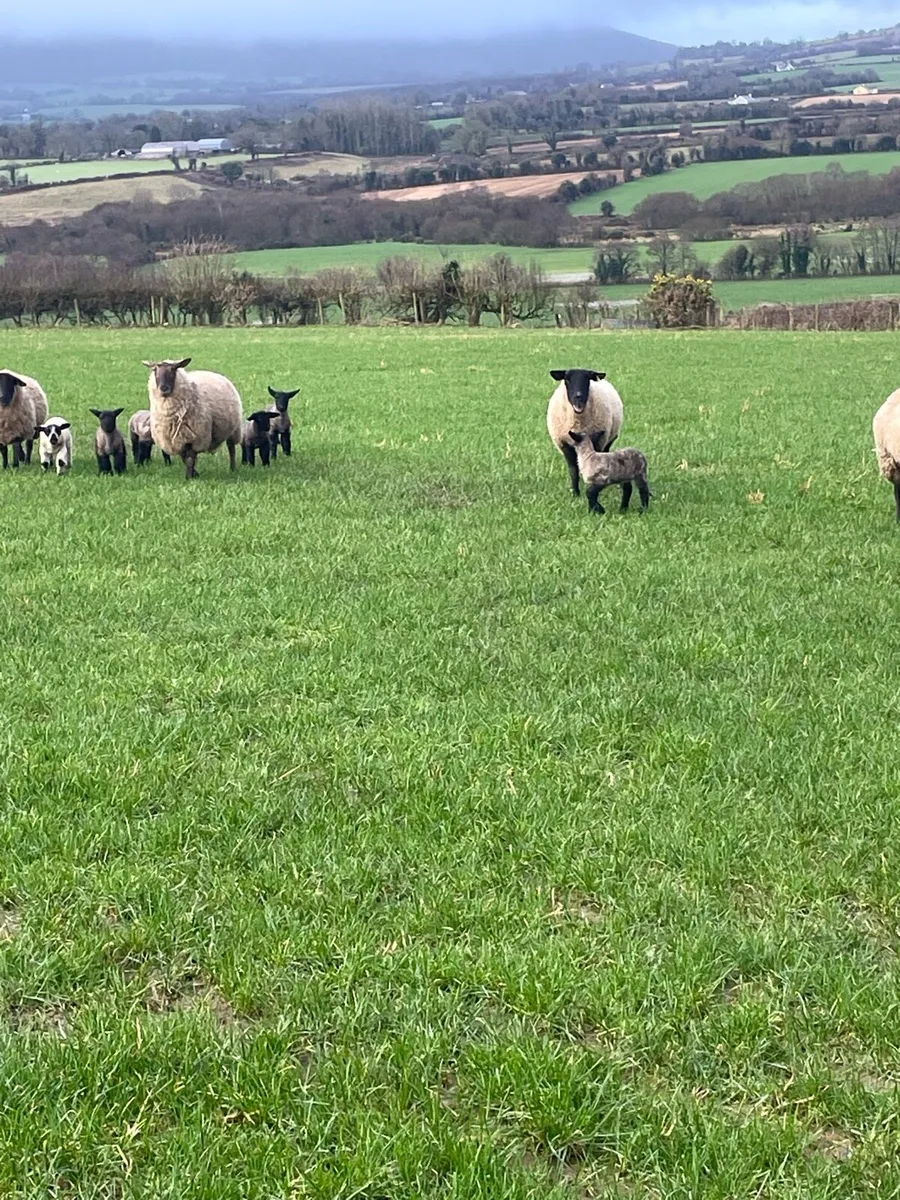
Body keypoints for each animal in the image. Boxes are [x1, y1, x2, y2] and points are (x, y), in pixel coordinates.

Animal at [546, 368, 624, 497]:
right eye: (567, 379)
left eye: (588, 379)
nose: (578, 397)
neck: (578, 423)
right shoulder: (564, 444)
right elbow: (573, 470)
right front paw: (575, 494)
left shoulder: (598, 441)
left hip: (608, 439)